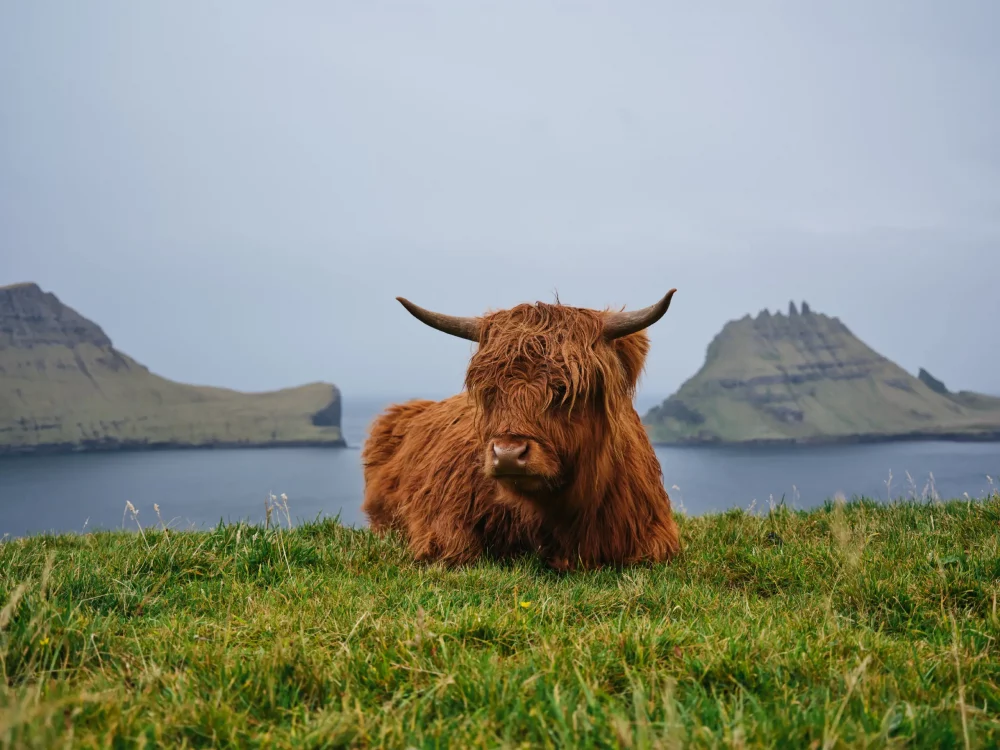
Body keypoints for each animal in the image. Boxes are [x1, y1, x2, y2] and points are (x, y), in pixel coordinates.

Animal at [361, 291, 681, 572]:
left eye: (565, 390)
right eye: (490, 390)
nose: (508, 454)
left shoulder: (653, 536)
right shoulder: (441, 519)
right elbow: (457, 548)